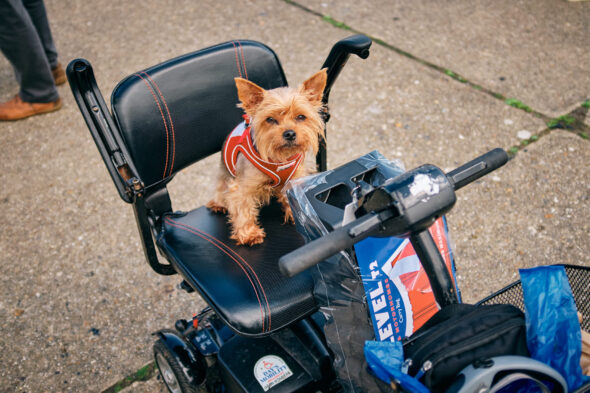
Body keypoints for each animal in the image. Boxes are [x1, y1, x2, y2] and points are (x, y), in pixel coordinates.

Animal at [207, 68, 328, 243]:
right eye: (270, 119)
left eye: (301, 117)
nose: (290, 133)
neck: (280, 158)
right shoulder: (242, 187)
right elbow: (243, 209)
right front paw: (249, 234)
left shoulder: (295, 177)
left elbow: (293, 198)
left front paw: (296, 216)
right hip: (223, 180)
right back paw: (217, 205)